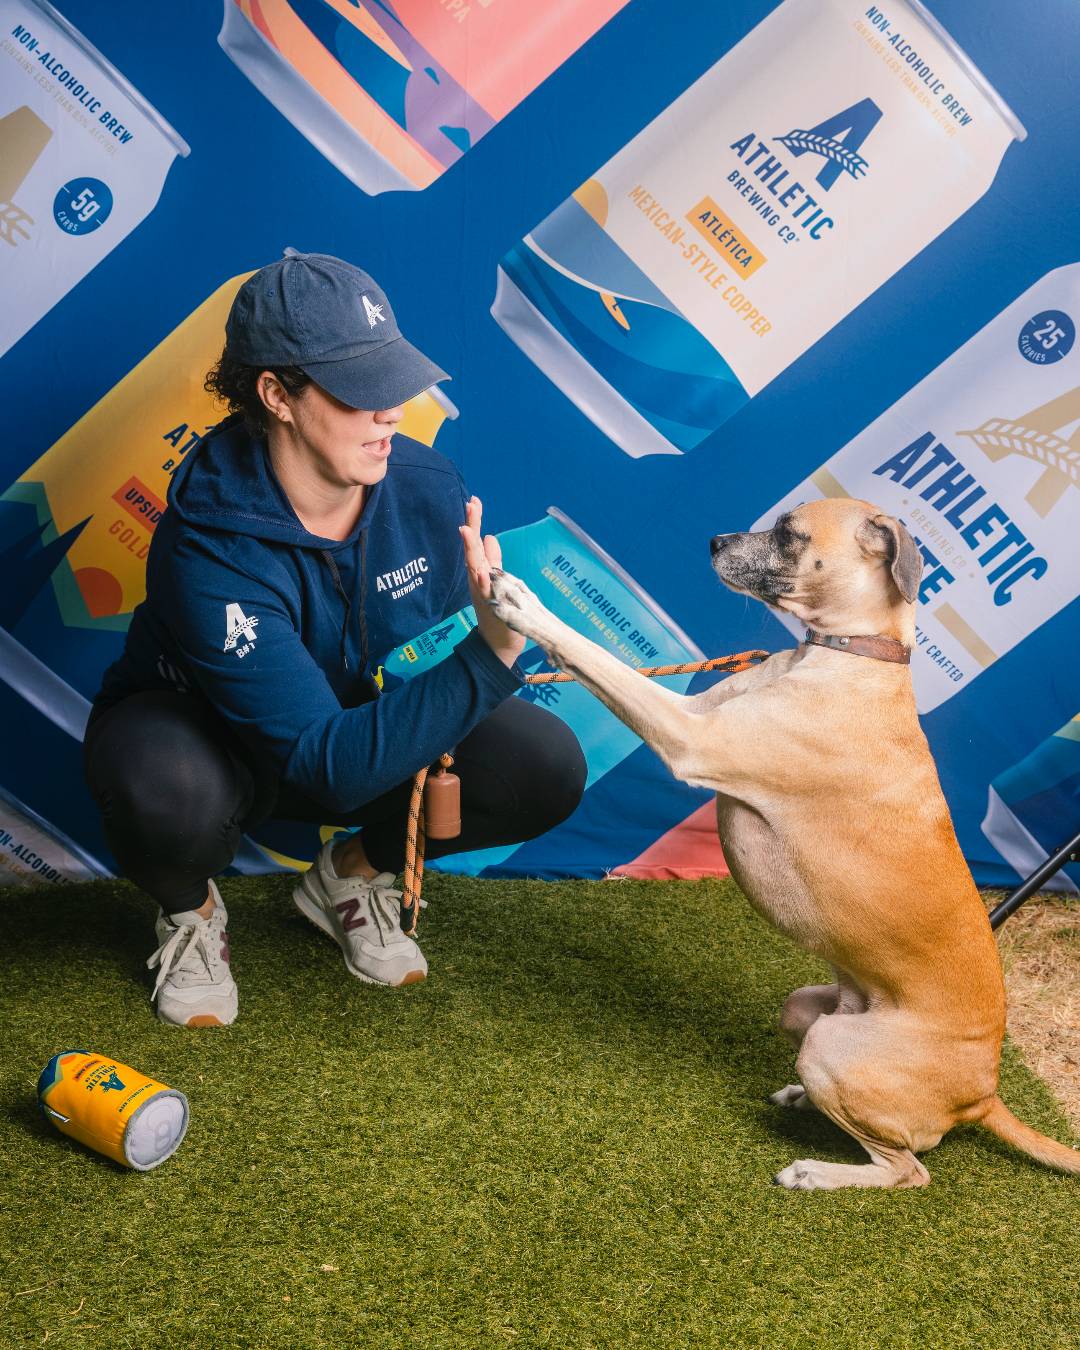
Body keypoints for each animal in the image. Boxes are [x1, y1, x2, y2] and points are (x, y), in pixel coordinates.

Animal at [491, 496, 1080, 1193]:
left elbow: (595, 658)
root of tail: (984, 1094)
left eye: (790, 533)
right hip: (807, 1011)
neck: (849, 655)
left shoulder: (689, 736)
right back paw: (803, 1102)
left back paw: (817, 1172)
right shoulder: (698, 714)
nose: (714, 541)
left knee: (908, 1169)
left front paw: (523, 605)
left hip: (829, 1051)